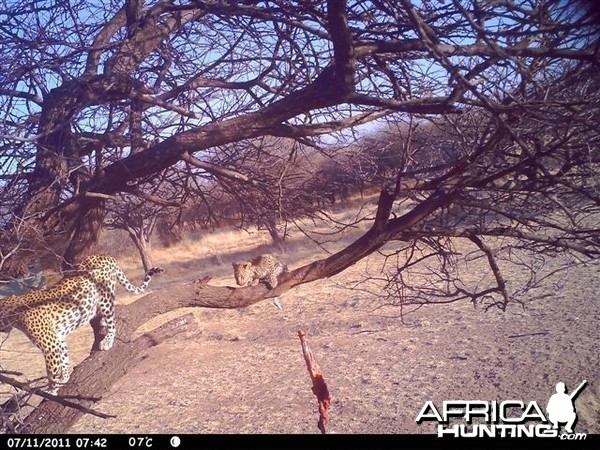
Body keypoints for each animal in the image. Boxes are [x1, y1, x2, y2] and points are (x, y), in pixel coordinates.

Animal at [0, 255, 164, 392]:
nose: (2, 330)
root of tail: (106, 256)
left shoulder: (50, 347)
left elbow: (52, 372)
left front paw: (52, 390)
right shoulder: (58, 339)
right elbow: (65, 358)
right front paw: (65, 377)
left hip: (105, 297)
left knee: (113, 322)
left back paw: (107, 341)